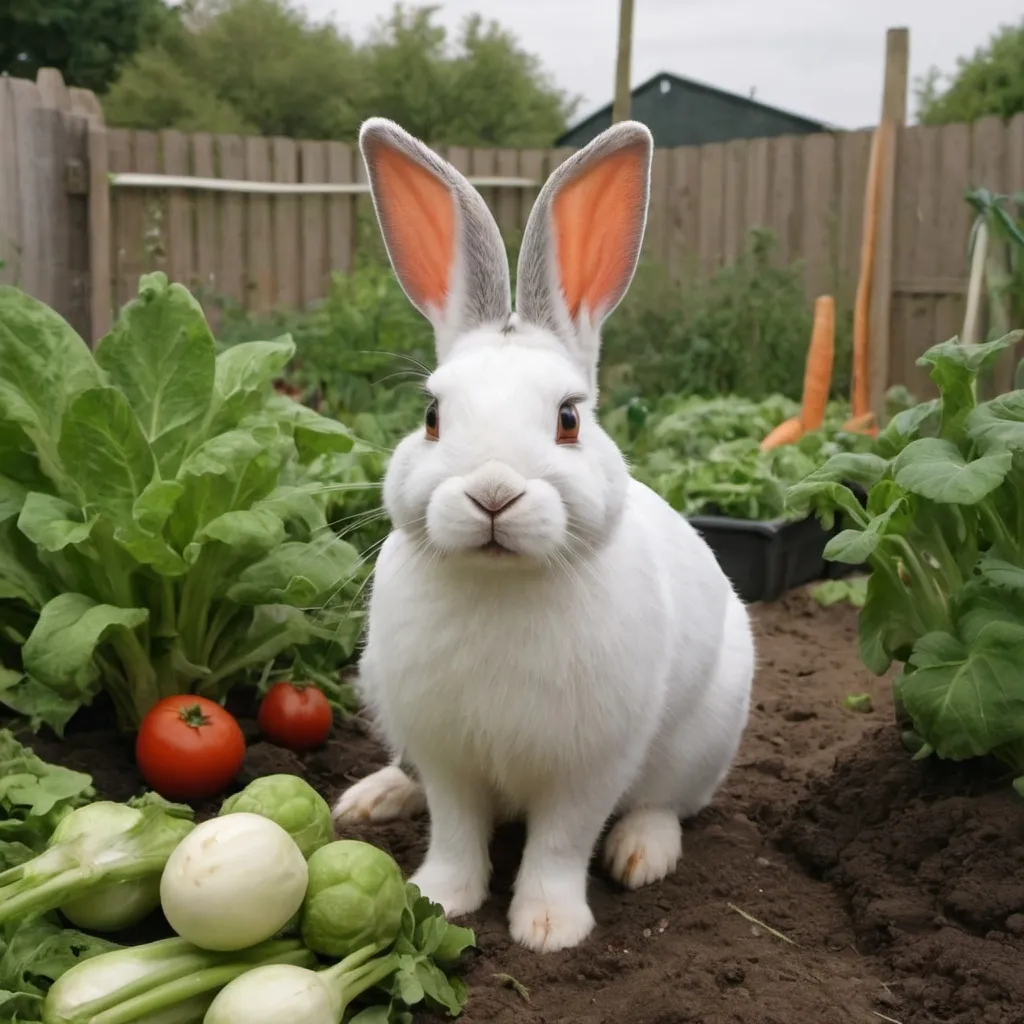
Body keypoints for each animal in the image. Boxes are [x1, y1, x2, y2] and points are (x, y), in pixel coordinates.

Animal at [331, 117, 757, 950]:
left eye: (567, 418)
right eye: (432, 416)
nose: (493, 492)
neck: (503, 584)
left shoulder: (589, 766)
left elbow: (561, 841)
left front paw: (550, 928)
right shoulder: (449, 755)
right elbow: (456, 830)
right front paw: (439, 899)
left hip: (702, 739)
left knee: (664, 804)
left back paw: (641, 855)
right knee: (412, 778)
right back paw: (370, 799)